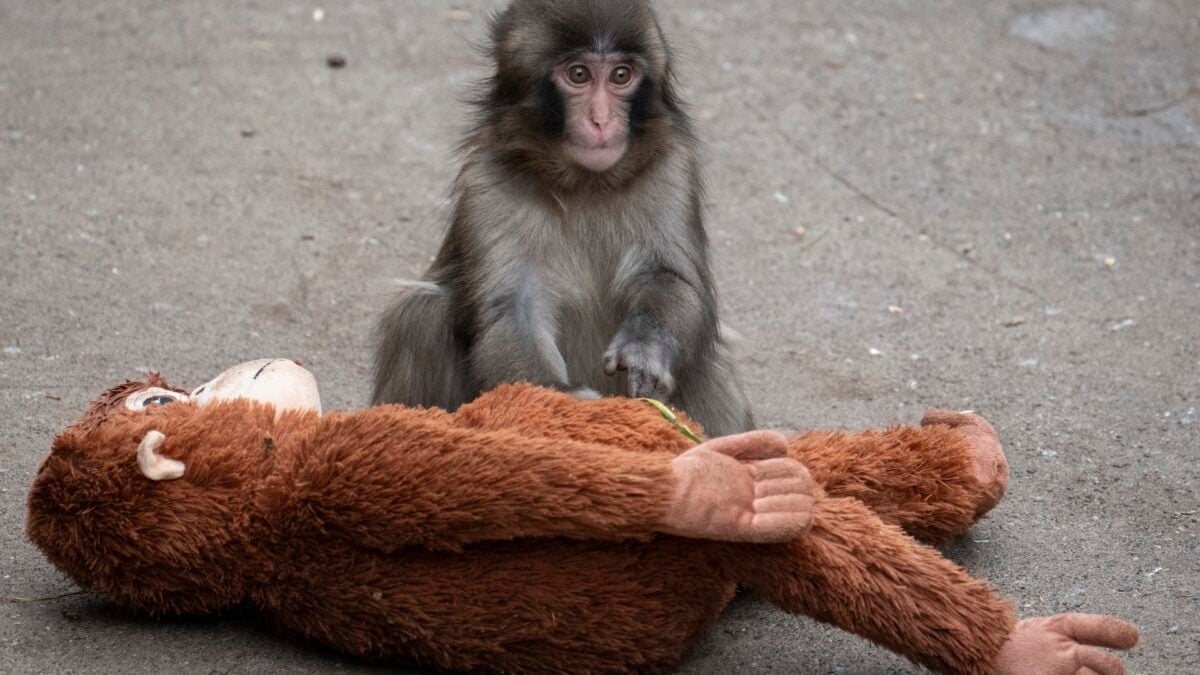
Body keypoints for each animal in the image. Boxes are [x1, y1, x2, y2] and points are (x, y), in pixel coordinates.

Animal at [372, 0, 754, 437]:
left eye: (621, 75)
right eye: (579, 75)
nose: (601, 121)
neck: (585, 183)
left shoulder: (671, 167)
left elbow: (670, 277)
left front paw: (645, 347)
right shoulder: (487, 181)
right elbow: (515, 307)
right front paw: (561, 402)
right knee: (422, 313)